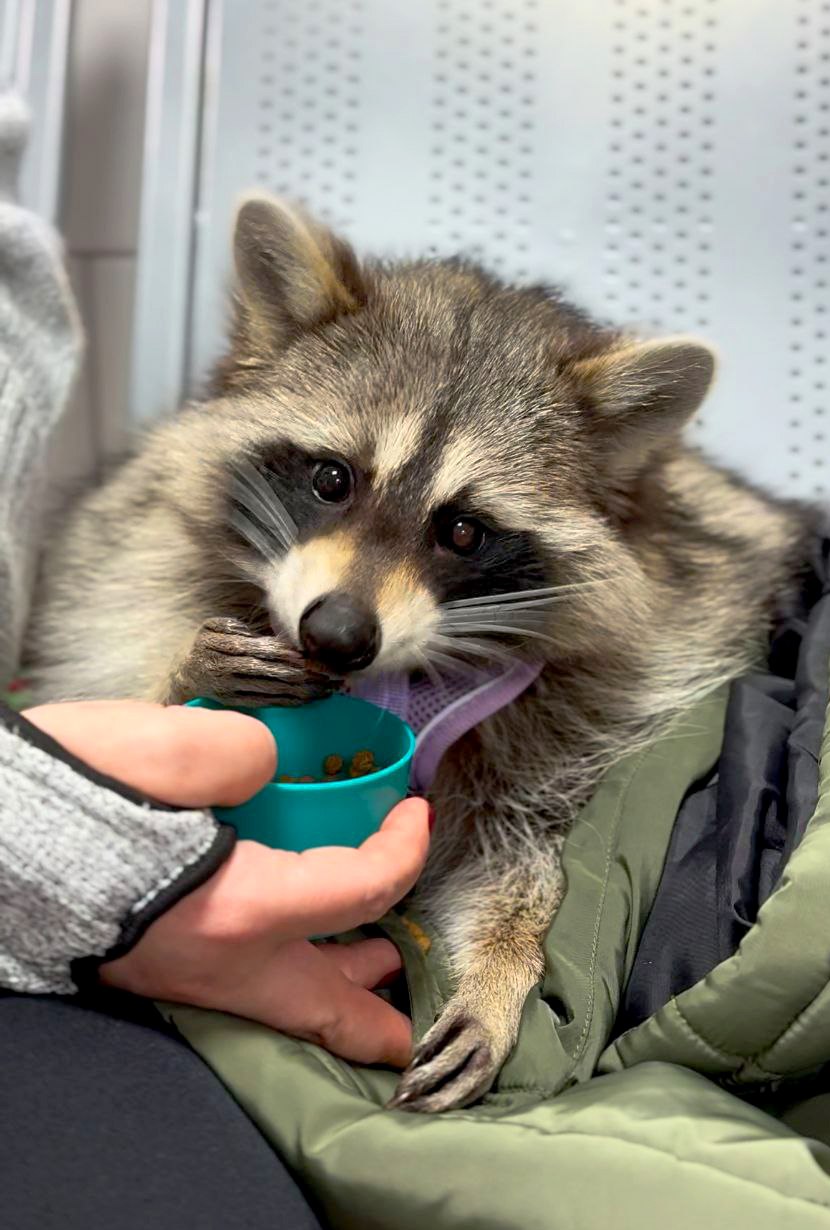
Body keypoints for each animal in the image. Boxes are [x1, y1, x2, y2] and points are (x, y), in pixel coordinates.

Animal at [24, 194, 816, 1116]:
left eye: (464, 531)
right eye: (331, 479)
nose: (335, 635)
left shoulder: (578, 710)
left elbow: (511, 859)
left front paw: (500, 968)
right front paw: (185, 673)